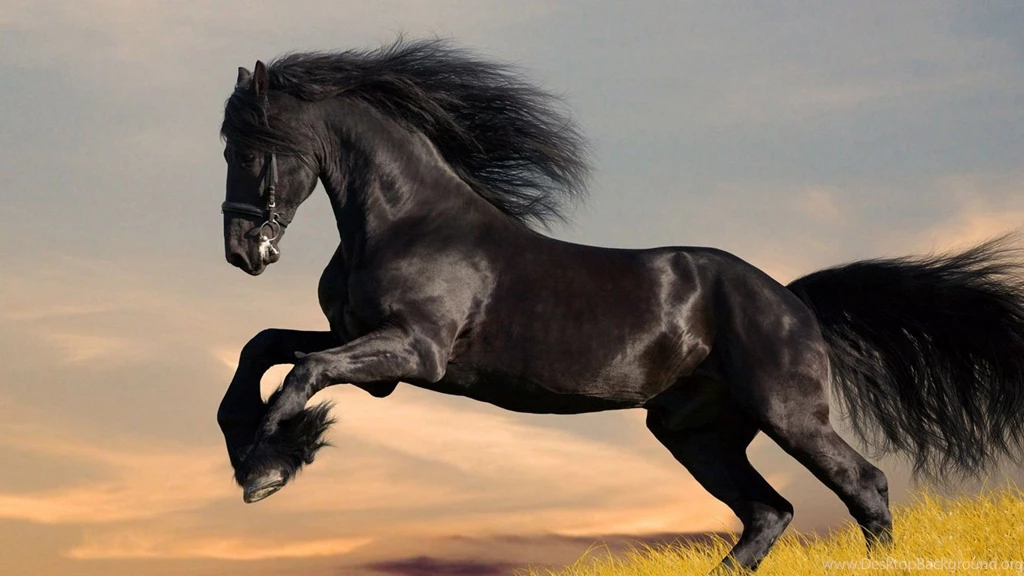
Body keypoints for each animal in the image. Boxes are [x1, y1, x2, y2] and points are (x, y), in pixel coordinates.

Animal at [216, 39, 1024, 571]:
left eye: (247, 147)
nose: (242, 252)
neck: (409, 220)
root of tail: (791, 300)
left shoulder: (415, 351)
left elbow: (302, 372)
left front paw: (266, 469)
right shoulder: (367, 350)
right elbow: (264, 348)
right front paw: (254, 451)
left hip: (788, 413)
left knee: (864, 485)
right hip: (695, 432)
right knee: (769, 512)